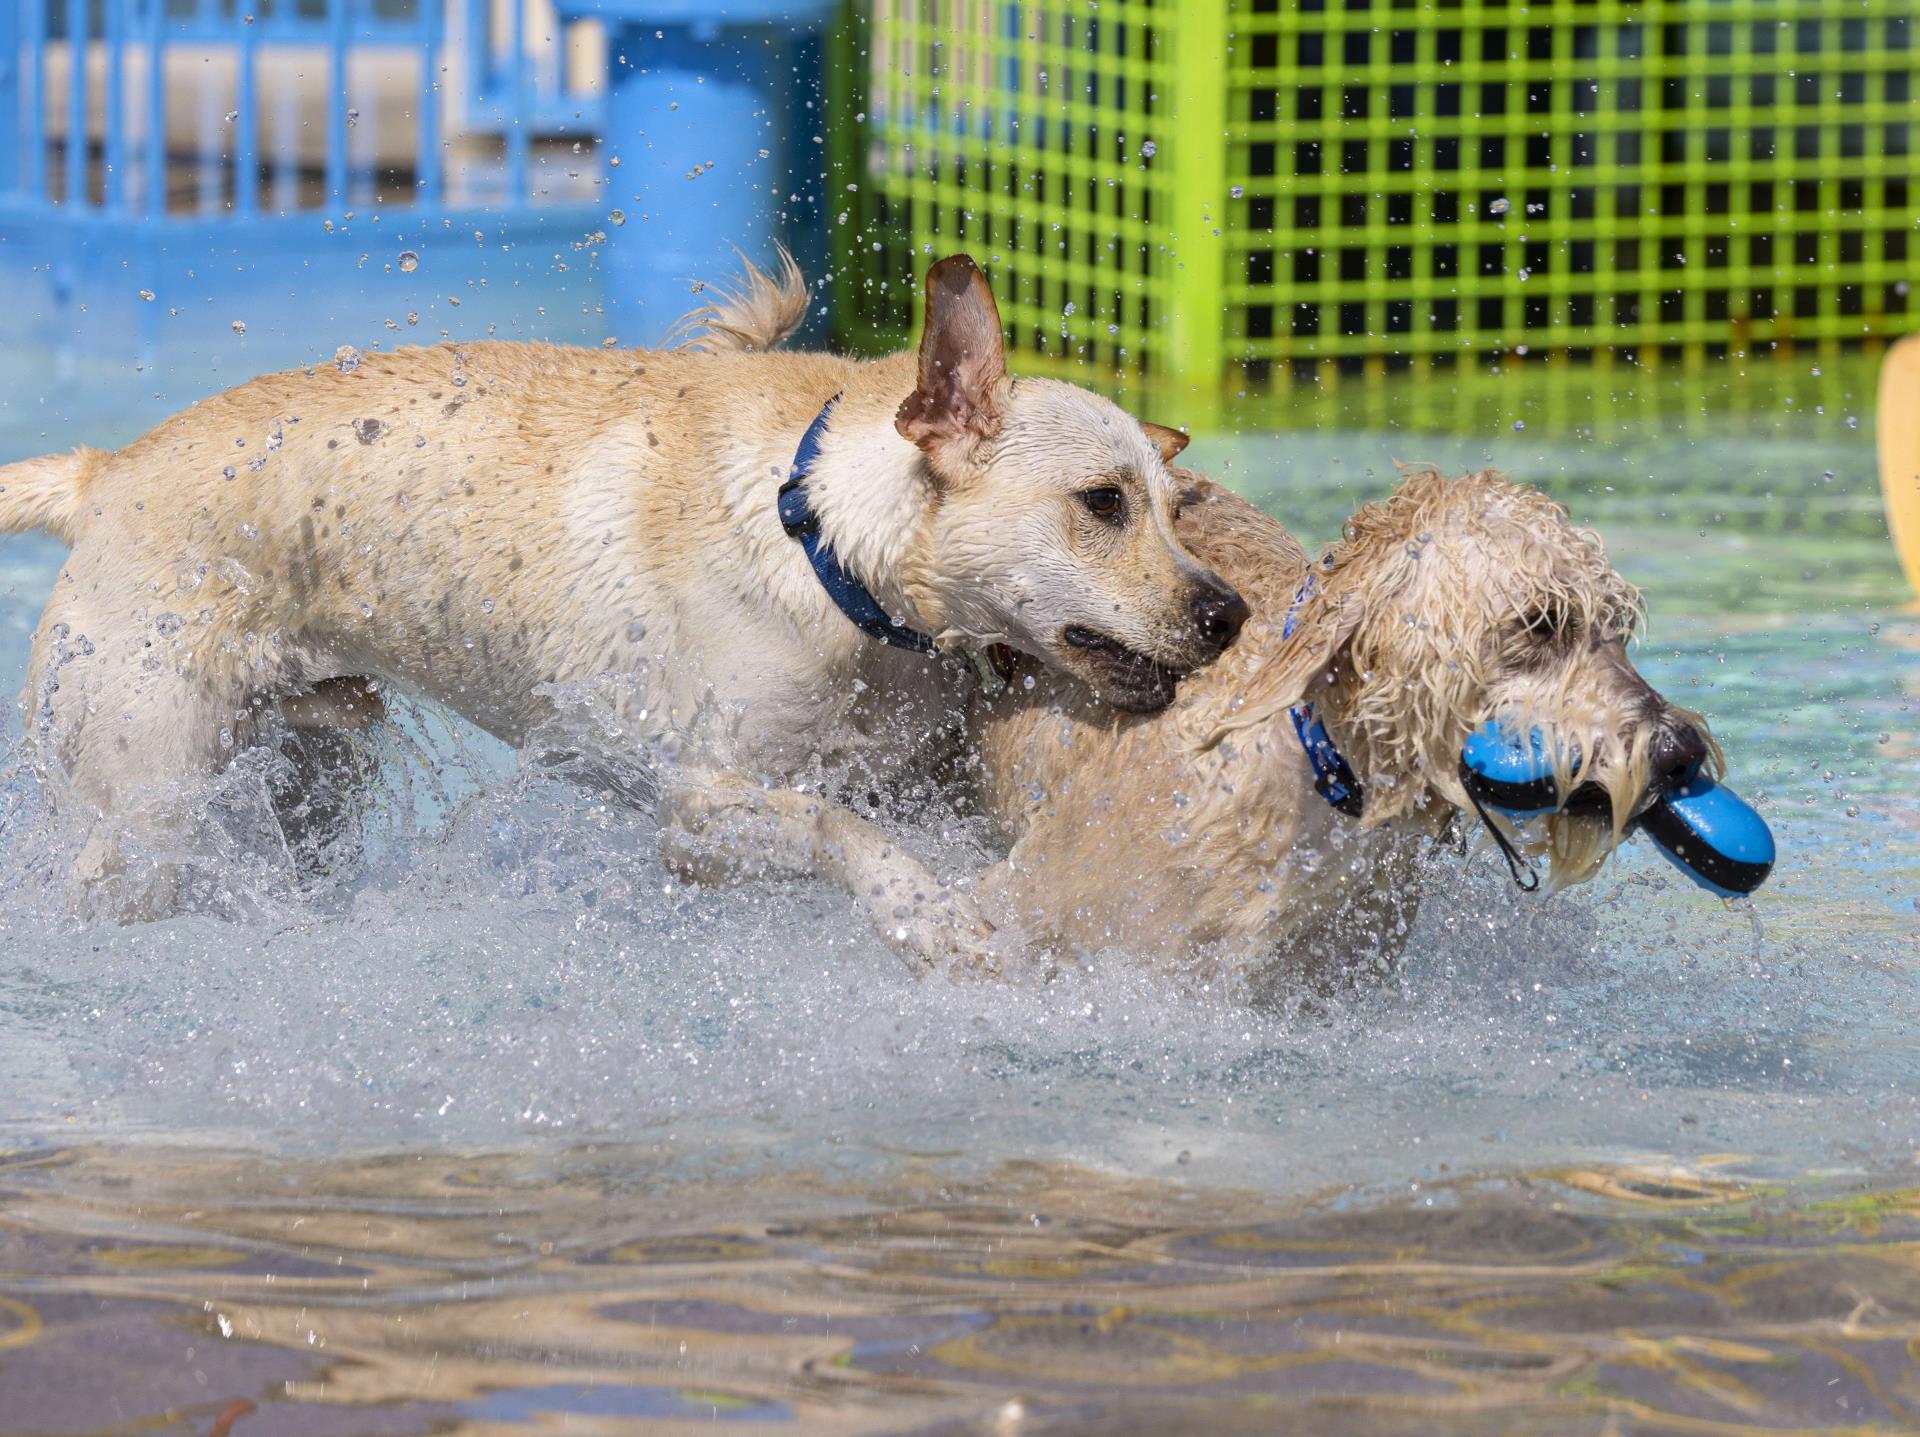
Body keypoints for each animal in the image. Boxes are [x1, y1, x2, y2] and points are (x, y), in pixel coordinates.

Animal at [0, 255, 1244, 964]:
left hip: (304, 779)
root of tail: (103, 474)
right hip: (148, 803)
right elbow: (834, 827)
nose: (1229, 613)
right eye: (1103, 502)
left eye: (1177, 505)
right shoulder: (699, 813)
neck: (826, 543)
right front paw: (928, 914)